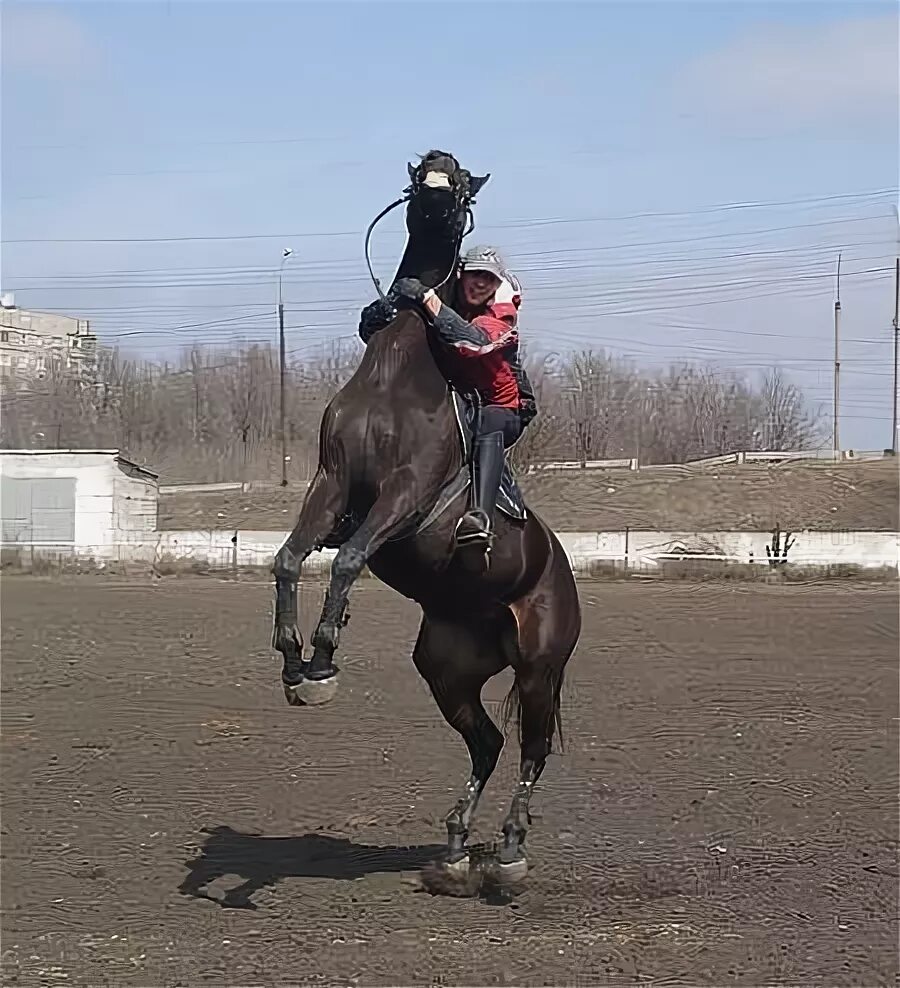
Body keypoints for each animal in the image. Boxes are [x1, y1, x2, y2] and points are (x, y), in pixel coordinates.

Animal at [272, 149, 584, 880]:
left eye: (462, 185)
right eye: (420, 178)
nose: (439, 184)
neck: (397, 378)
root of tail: (561, 572)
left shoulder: (405, 493)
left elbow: (349, 558)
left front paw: (323, 656)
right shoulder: (331, 485)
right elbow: (291, 558)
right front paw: (294, 660)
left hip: (540, 667)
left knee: (531, 749)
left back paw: (509, 852)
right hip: (448, 671)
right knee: (488, 744)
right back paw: (455, 847)